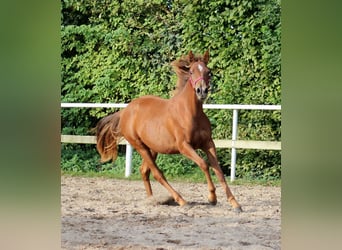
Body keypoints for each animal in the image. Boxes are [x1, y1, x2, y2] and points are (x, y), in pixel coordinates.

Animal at [95, 51, 242, 212]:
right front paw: (212, 198)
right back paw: (181, 200)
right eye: (191, 71)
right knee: (157, 173)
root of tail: (125, 111)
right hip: (140, 147)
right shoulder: (184, 146)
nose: (201, 91)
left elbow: (219, 170)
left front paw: (235, 203)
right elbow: (204, 164)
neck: (191, 113)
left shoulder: (208, 144)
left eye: (208, 72)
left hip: (153, 148)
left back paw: (152, 200)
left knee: (144, 171)